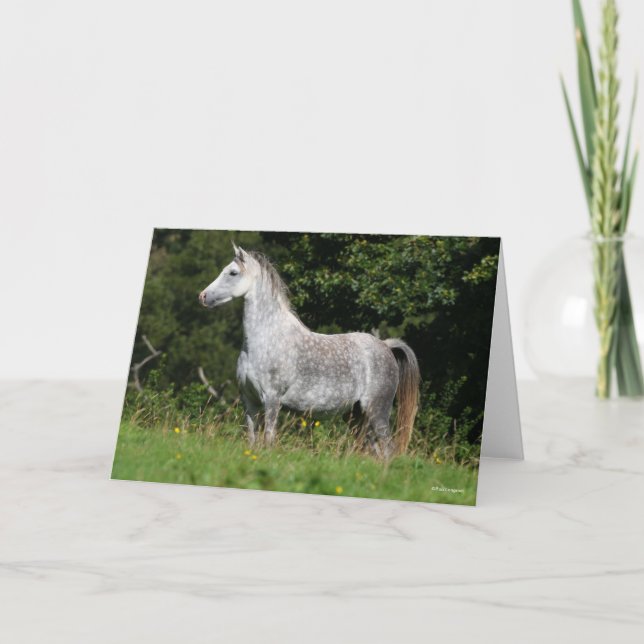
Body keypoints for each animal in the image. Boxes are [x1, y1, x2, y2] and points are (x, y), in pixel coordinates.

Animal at [198, 243, 420, 458]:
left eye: (233, 272)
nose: (202, 296)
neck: (266, 339)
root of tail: (386, 346)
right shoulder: (249, 401)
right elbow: (252, 439)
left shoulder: (272, 400)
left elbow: (268, 439)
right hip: (357, 416)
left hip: (377, 411)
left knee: (388, 450)